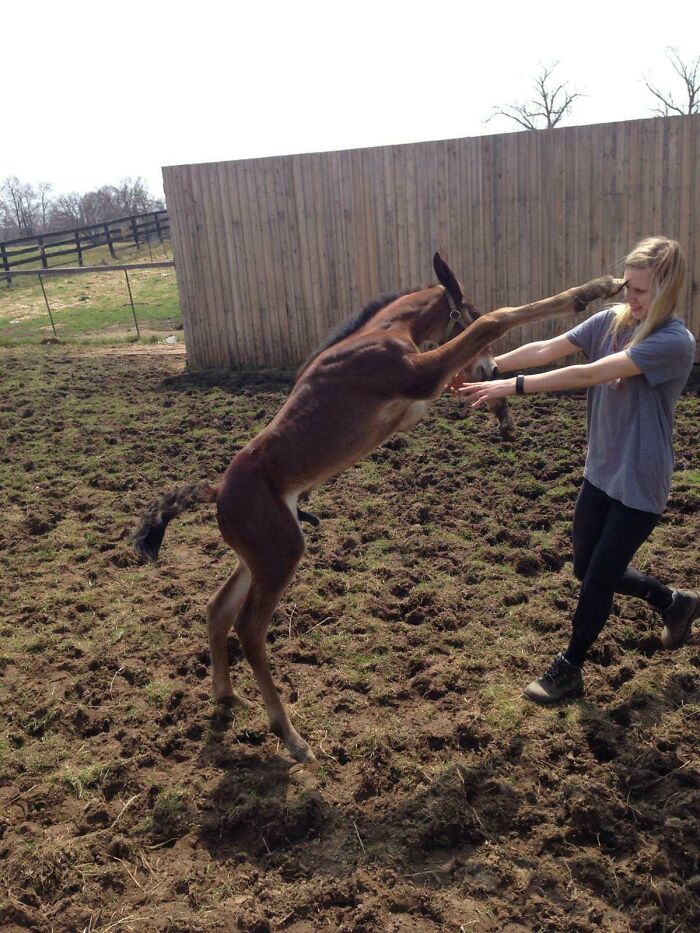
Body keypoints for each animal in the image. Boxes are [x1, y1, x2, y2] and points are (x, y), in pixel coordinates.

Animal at [134, 253, 623, 763]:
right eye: (466, 308)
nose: (492, 367)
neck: (380, 333)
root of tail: (217, 492)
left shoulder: (421, 392)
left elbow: (467, 370)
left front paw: (503, 416)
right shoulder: (419, 374)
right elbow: (496, 320)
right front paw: (595, 289)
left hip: (260, 556)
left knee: (217, 610)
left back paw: (227, 696)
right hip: (281, 554)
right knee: (249, 629)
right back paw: (290, 735)